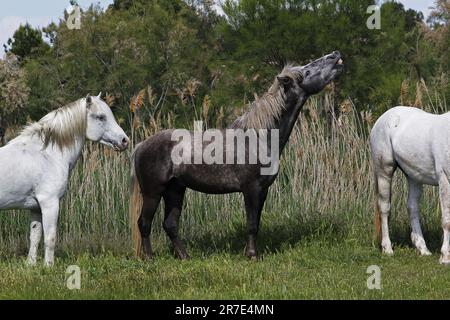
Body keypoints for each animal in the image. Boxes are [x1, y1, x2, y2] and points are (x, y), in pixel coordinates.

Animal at [0, 94, 129, 266]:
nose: (124, 141)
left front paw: (31, 264)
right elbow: (50, 238)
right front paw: (48, 266)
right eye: (101, 116)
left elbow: (35, 236)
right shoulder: (50, 203)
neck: (47, 154)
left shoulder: (35, 207)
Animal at [130, 51, 344, 258]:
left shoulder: (263, 190)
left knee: (170, 225)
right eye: (306, 71)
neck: (258, 138)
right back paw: (149, 258)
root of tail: (140, 145)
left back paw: (184, 257)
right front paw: (252, 255)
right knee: (144, 223)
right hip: (153, 192)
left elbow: (256, 223)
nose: (335, 55)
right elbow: (251, 224)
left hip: (175, 190)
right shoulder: (251, 189)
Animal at [372, 106, 450, 264]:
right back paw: (387, 249)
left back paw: (423, 249)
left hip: (414, 177)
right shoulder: (445, 179)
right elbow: (447, 219)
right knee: (384, 208)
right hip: (384, 171)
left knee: (412, 207)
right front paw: (445, 257)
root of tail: (382, 118)